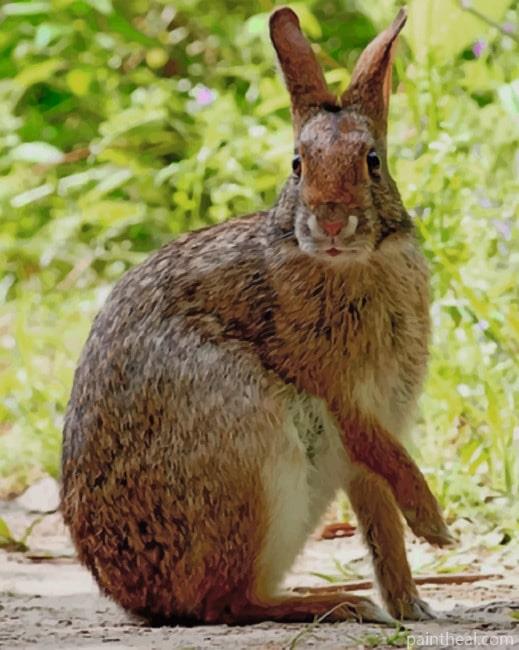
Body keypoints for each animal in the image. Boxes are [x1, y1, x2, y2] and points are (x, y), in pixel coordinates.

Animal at [61, 7, 453, 625]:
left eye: (372, 162)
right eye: (297, 165)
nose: (331, 221)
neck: (346, 264)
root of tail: (137, 594)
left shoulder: (371, 433)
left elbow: (380, 524)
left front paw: (413, 606)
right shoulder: (341, 394)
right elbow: (388, 461)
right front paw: (435, 527)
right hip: (254, 450)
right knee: (229, 602)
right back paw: (336, 603)